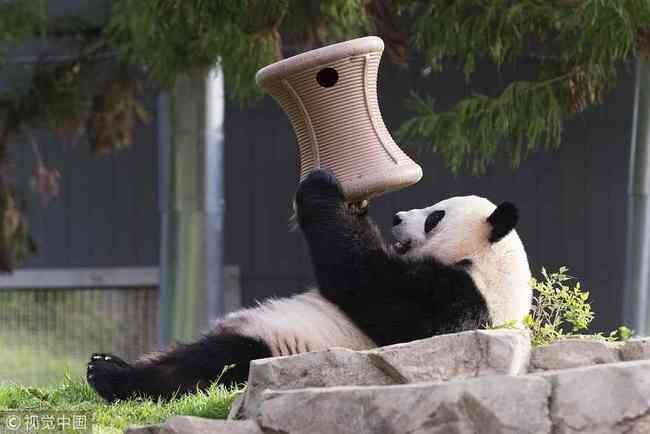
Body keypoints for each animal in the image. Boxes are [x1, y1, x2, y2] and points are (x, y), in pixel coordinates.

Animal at [87, 168, 532, 402]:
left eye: (435, 217)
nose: (398, 217)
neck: (489, 267)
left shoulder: (453, 300)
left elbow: (366, 282)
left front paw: (321, 186)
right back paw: (109, 363)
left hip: (274, 349)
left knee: (205, 366)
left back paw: (110, 376)